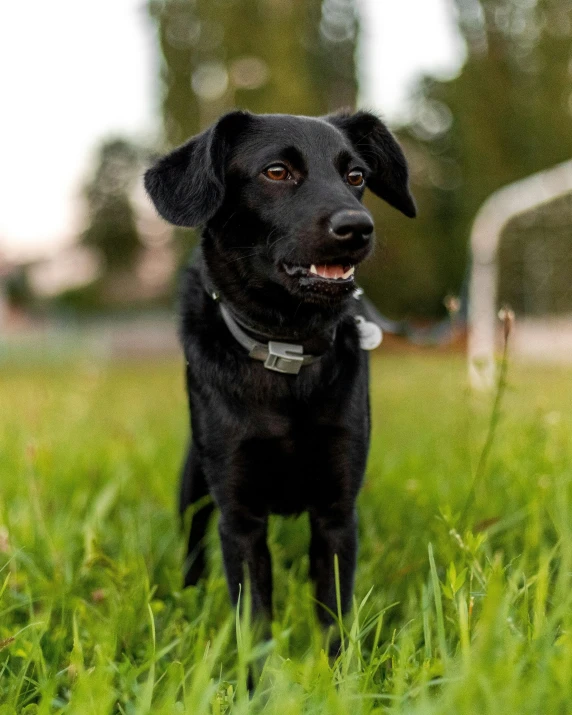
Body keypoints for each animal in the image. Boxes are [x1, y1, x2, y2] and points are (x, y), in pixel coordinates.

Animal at [145, 110, 416, 628]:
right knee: (192, 547)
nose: (358, 226)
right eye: (276, 172)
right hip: (194, 484)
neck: (285, 345)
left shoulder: (336, 510)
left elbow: (334, 616)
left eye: (356, 177)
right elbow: (254, 619)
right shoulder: (239, 516)